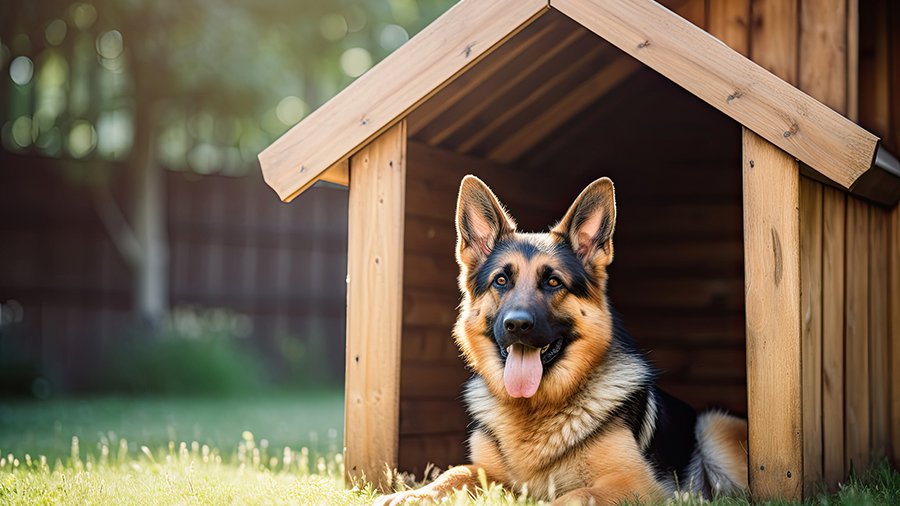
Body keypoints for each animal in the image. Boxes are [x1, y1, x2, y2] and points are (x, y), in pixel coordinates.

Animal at [376, 176, 748, 504]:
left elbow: (577, 495)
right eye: (500, 281)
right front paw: (409, 494)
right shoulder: (487, 472)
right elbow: (455, 472)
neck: (534, 410)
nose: (516, 325)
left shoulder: (636, 484)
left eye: (553, 282)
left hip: (713, 425)